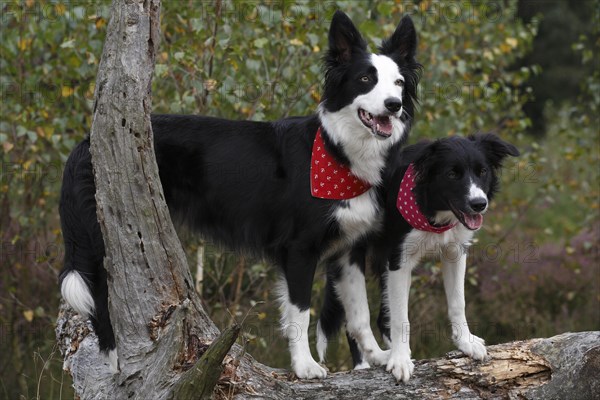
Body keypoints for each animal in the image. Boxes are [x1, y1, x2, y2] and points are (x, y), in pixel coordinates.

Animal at [58, 9, 420, 378]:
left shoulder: (349, 251)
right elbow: (300, 313)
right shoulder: (299, 250)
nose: (393, 105)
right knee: (100, 297)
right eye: (365, 79)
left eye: (398, 83)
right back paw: (115, 359)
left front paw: (380, 356)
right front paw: (304, 366)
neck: (338, 153)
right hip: (105, 236)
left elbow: (359, 313)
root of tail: (85, 143)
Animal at [316, 134, 516, 382]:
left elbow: (458, 302)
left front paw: (465, 342)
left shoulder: (454, 252)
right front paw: (400, 360)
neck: (431, 208)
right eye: (452, 174)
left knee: (381, 317)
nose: (479, 204)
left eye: (482, 171)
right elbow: (401, 317)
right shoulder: (399, 261)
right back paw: (364, 366)